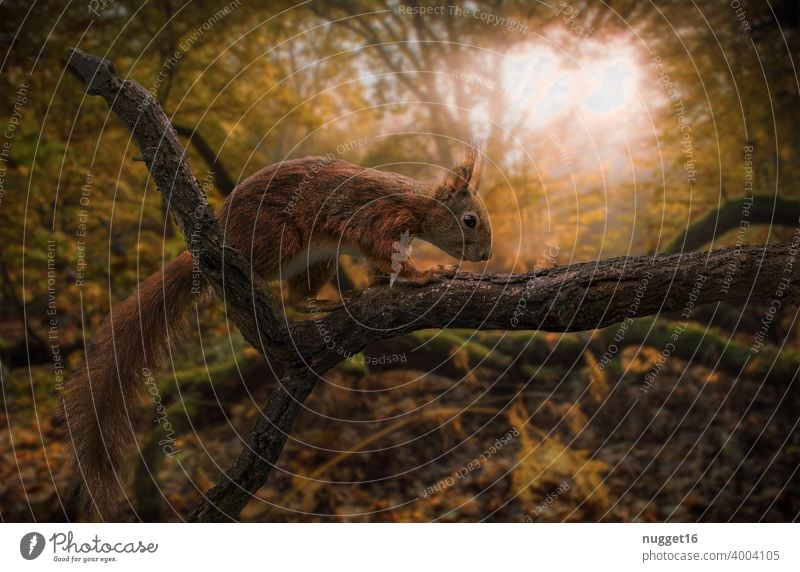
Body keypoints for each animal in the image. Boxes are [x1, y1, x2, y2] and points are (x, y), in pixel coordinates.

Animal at [64, 145, 488, 516]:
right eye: (470, 220)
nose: (485, 255)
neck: (419, 204)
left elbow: (380, 270)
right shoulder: (379, 217)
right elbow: (380, 250)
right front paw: (426, 274)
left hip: (316, 261)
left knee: (298, 295)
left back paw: (331, 304)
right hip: (279, 237)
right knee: (260, 274)